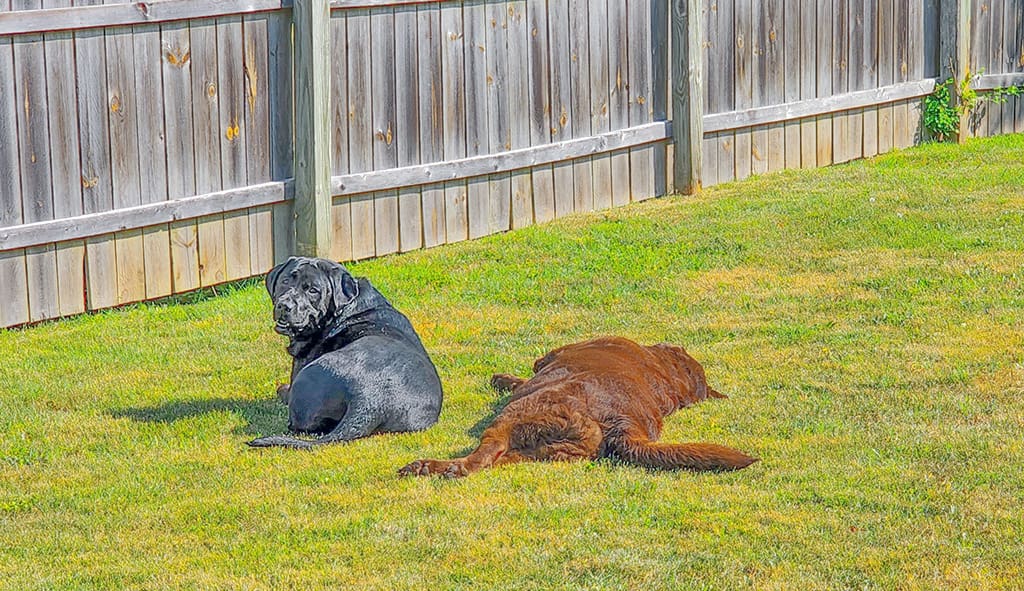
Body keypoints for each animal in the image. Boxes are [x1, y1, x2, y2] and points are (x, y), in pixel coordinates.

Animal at [395, 333, 757, 477]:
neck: (667, 376)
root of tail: (622, 423)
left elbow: (523, 375)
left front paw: (501, 378)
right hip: (542, 449)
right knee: (493, 461)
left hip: (515, 417)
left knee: (477, 460)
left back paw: (428, 467)